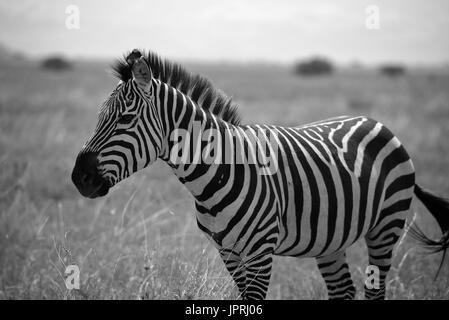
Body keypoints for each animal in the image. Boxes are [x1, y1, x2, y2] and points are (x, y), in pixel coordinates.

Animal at [71, 48, 448, 298]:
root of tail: (376, 121)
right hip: (332, 240)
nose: (78, 178)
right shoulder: (227, 251)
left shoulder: (259, 251)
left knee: (375, 289)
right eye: (100, 117)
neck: (216, 173)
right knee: (344, 291)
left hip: (386, 227)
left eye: (125, 119)